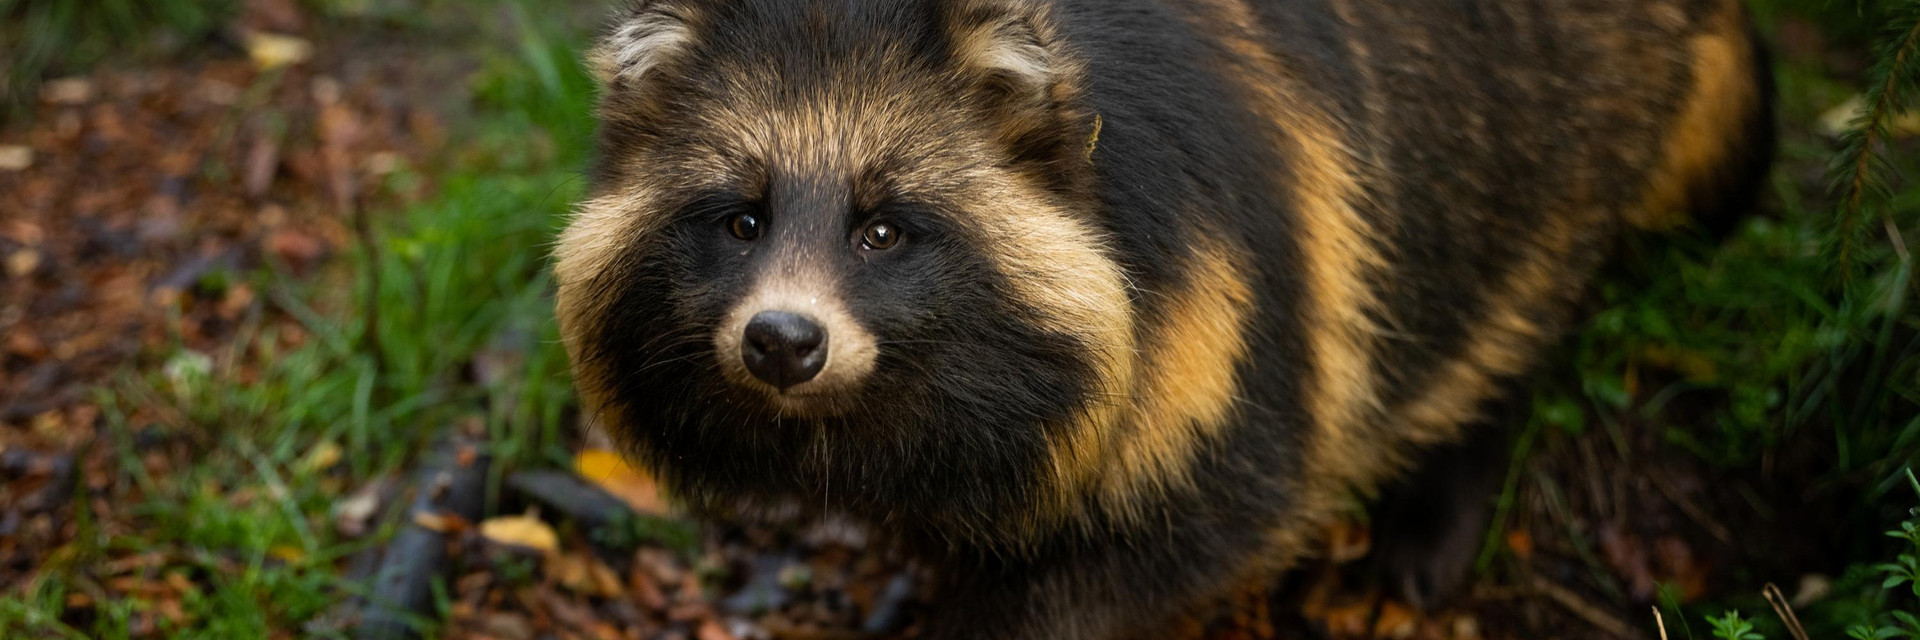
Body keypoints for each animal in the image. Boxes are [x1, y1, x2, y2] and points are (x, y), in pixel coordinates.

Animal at [553, 0, 1773, 637]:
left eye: (884, 229)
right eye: (741, 219)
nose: (783, 342)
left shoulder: (1233, 307)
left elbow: (1203, 521)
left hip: (1559, 126)